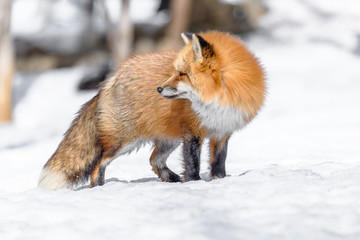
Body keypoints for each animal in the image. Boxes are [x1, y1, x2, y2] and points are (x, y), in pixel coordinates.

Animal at [38, 31, 266, 190]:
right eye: (176, 72)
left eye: (181, 74)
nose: (159, 89)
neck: (218, 100)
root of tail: (113, 78)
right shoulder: (193, 132)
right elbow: (193, 164)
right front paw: (194, 184)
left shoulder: (221, 132)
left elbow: (219, 164)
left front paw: (219, 181)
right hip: (124, 141)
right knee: (98, 164)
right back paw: (99, 189)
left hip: (169, 139)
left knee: (154, 160)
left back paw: (171, 179)